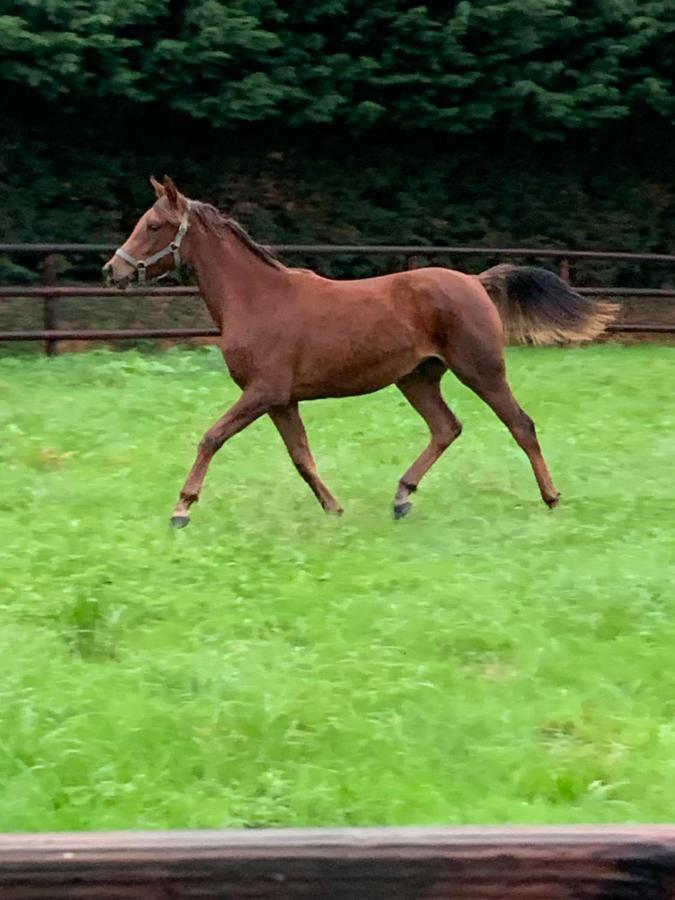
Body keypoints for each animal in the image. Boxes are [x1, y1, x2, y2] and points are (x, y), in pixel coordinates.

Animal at [103, 176, 616, 528]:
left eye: (153, 225)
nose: (112, 270)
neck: (256, 298)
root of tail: (475, 281)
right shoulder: (282, 400)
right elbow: (302, 457)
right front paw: (334, 509)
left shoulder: (263, 392)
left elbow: (211, 437)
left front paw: (181, 509)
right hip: (417, 377)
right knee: (446, 427)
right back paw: (402, 496)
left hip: (481, 370)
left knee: (520, 425)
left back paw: (551, 498)